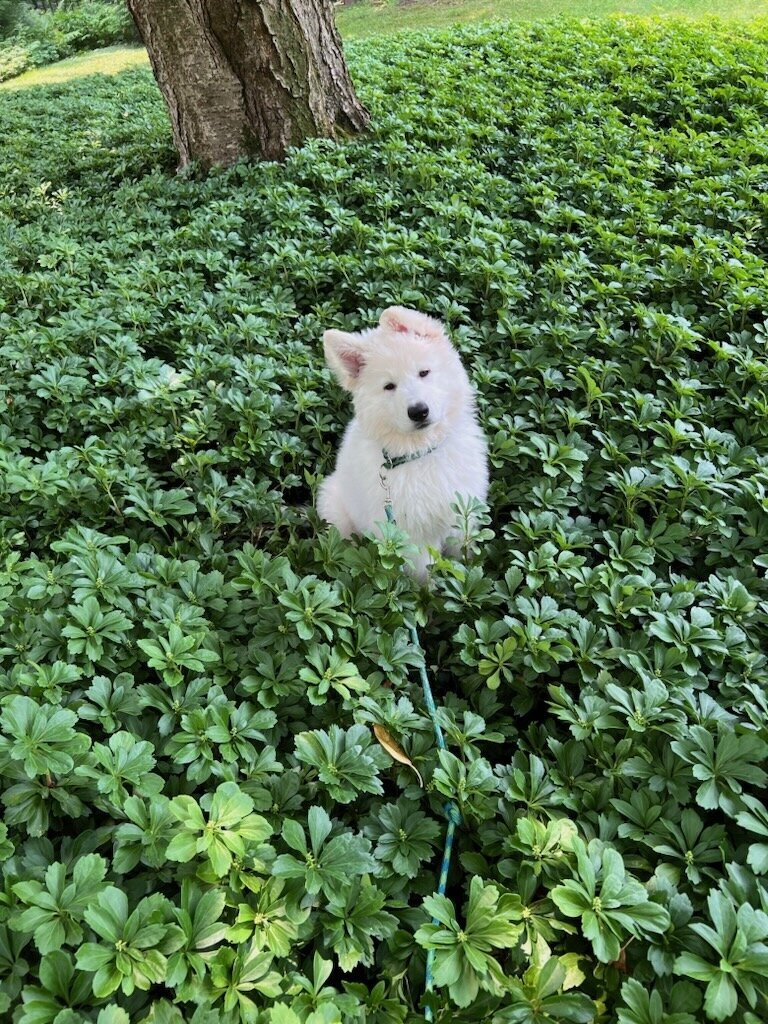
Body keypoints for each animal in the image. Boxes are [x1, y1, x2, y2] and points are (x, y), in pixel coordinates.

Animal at [317, 303, 487, 581]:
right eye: (389, 386)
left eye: (424, 372)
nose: (419, 411)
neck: (422, 451)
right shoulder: (410, 535)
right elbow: (424, 573)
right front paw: (430, 592)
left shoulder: (462, 512)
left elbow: (464, 551)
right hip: (335, 510)